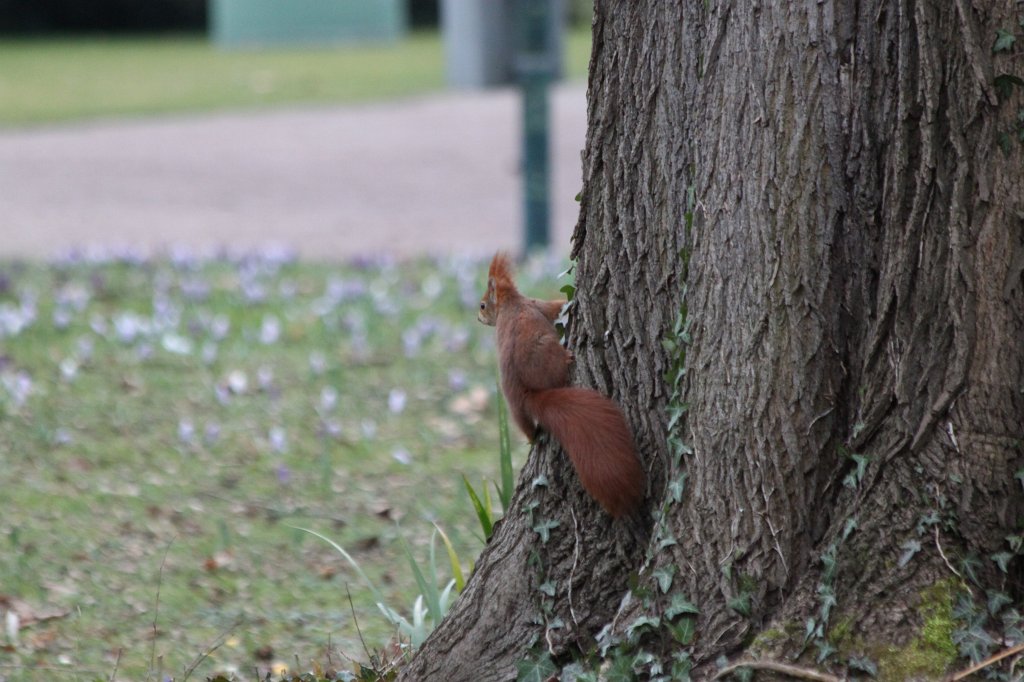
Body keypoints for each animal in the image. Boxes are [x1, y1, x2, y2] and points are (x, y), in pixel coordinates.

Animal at [477, 252, 645, 517]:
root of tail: (530, 395)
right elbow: (554, 308)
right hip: (546, 351)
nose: (479, 317)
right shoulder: (537, 305)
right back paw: (567, 358)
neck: (511, 302)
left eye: (483, 305)